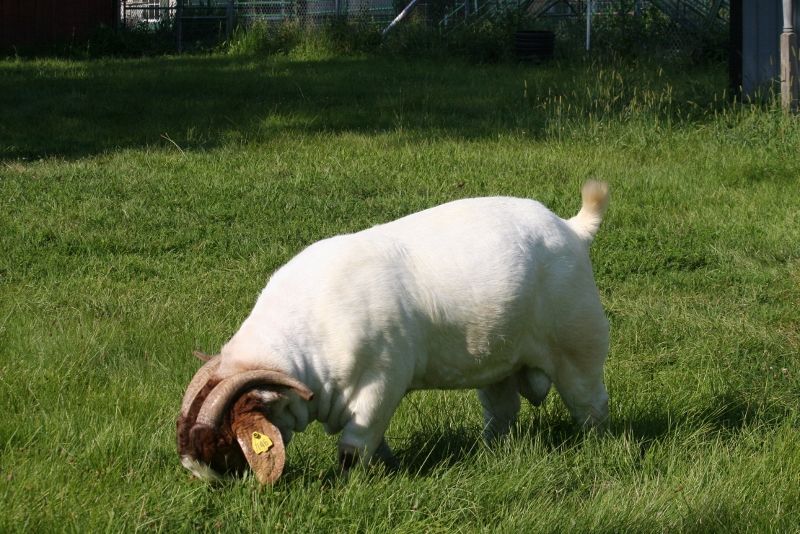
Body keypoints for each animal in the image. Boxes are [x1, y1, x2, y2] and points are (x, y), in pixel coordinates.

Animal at [178, 181, 608, 486]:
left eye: (221, 442)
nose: (208, 483)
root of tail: (571, 229)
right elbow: (373, 441)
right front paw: (388, 465)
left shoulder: (380, 382)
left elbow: (354, 445)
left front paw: (346, 484)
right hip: (500, 361)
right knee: (501, 410)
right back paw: (491, 449)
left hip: (580, 345)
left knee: (589, 404)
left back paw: (594, 445)